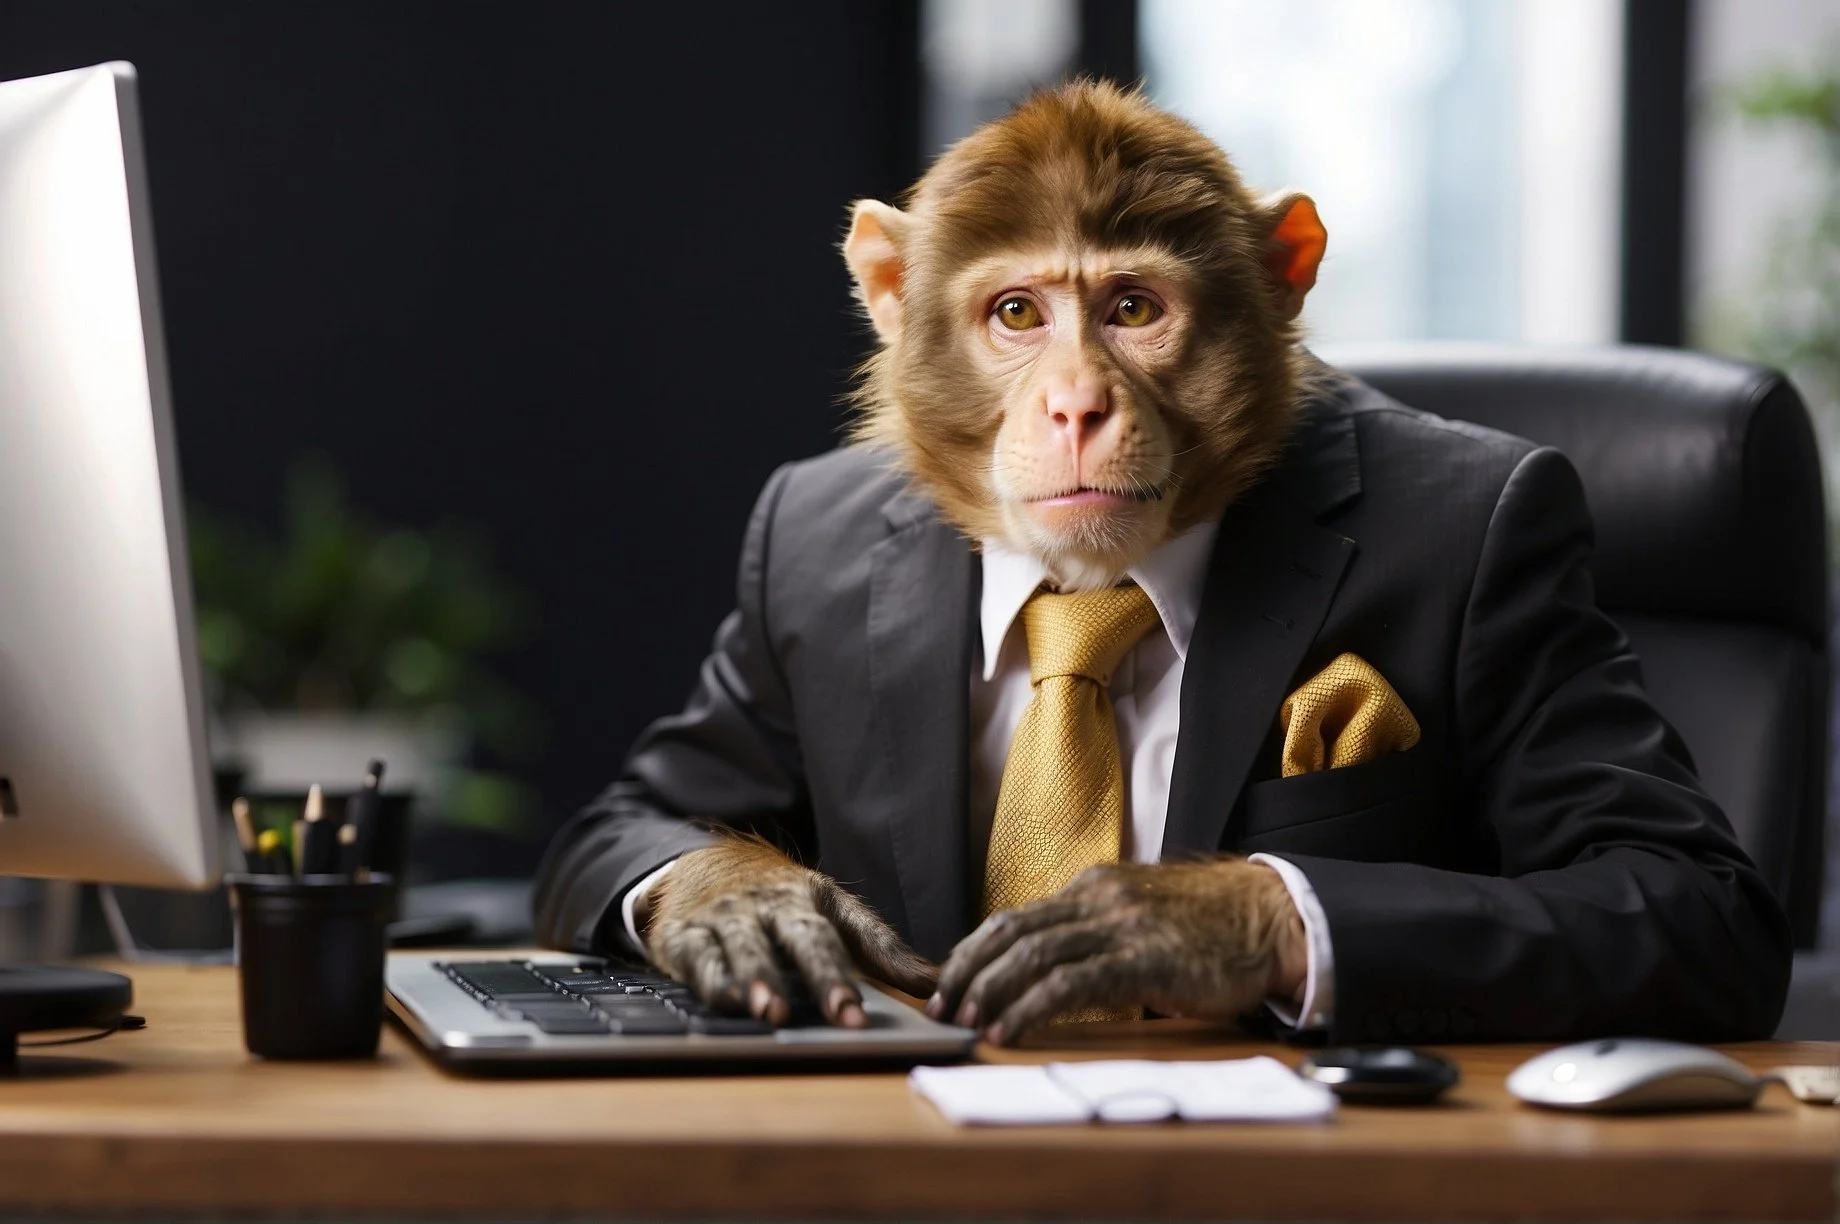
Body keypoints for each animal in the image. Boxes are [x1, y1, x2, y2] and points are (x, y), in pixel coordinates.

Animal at [636, 80, 1326, 1042]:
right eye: (1018, 314)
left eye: (1134, 310)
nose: (1076, 406)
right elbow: (653, 805)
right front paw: (750, 899)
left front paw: (1155, 921)